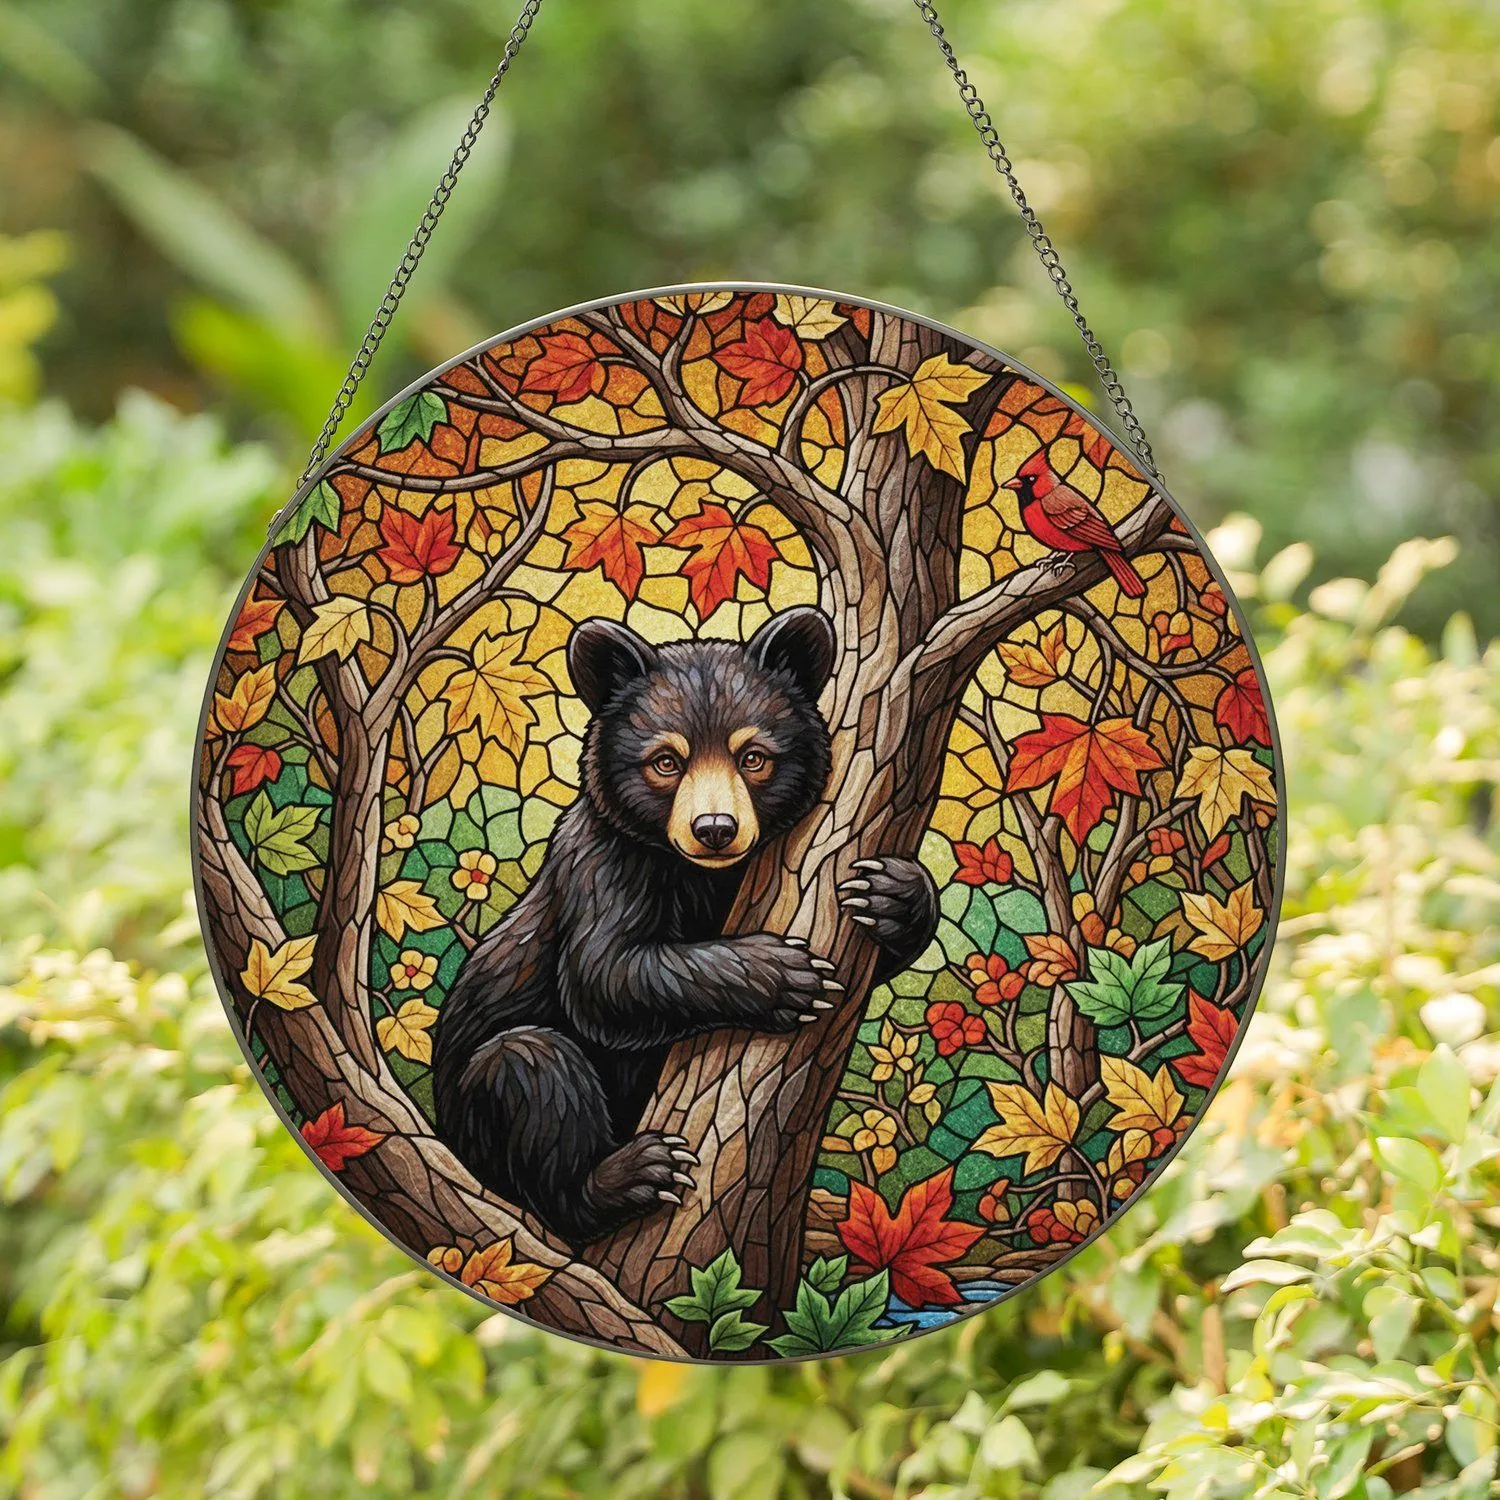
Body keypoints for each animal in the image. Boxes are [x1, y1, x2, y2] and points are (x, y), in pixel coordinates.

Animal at [431, 605, 940, 1247]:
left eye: (753, 756)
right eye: (665, 761)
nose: (715, 828)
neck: (704, 875)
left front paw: (893, 893)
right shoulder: (603, 861)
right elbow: (606, 973)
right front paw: (786, 976)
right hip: (478, 1115)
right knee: (527, 1067)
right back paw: (629, 1176)